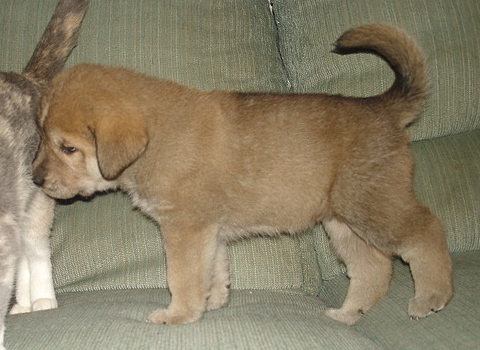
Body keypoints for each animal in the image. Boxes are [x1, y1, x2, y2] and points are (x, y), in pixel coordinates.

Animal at [32, 23, 454, 326]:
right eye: (42, 136)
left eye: (67, 148)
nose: (36, 180)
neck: (156, 138)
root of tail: (381, 107)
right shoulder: (208, 230)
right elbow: (215, 269)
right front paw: (213, 302)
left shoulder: (185, 228)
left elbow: (182, 276)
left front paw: (179, 314)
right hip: (344, 221)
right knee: (374, 267)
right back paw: (348, 314)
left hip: (372, 205)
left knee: (425, 232)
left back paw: (431, 297)